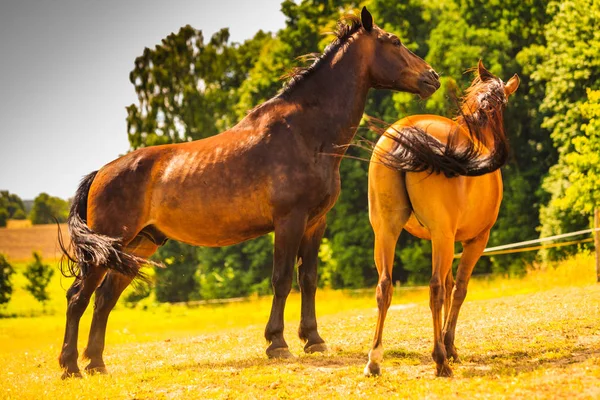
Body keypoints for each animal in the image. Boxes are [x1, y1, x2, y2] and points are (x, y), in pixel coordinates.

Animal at [57, 7, 440, 380]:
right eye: (395, 41)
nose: (433, 77)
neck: (307, 133)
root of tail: (101, 173)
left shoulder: (315, 223)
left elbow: (309, 279)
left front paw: (313, 340)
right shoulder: (289, 221)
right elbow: (282, 279)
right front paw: (277, 343)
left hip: (137, 246)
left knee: (104, 299)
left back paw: (96, 363)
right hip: (111, 246)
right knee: (78, 297)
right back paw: (71, 367)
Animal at [364, 61, 516, 378]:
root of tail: (409, 134)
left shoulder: (445, 239)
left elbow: (448, 285)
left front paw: (450, 346)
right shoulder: (474, 241)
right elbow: (457, 289)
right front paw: (449, 346)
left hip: (386, 232)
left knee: (385, 286)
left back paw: (374, 360)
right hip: (443, 238)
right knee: (434, 288)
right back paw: (440, 360)